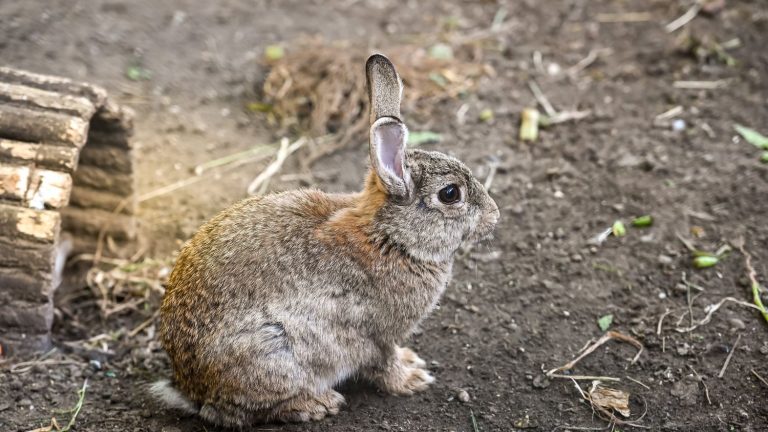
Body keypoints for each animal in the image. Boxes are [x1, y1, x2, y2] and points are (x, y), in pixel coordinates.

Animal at [153, 53, 500, 426]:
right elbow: (384, 363)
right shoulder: (376, 334)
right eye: (450, 194)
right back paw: (316, 403)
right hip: (274, 352)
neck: (389, 237)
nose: (494, 215)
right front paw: (412, 379)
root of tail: (191, 388)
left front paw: (412, 362)